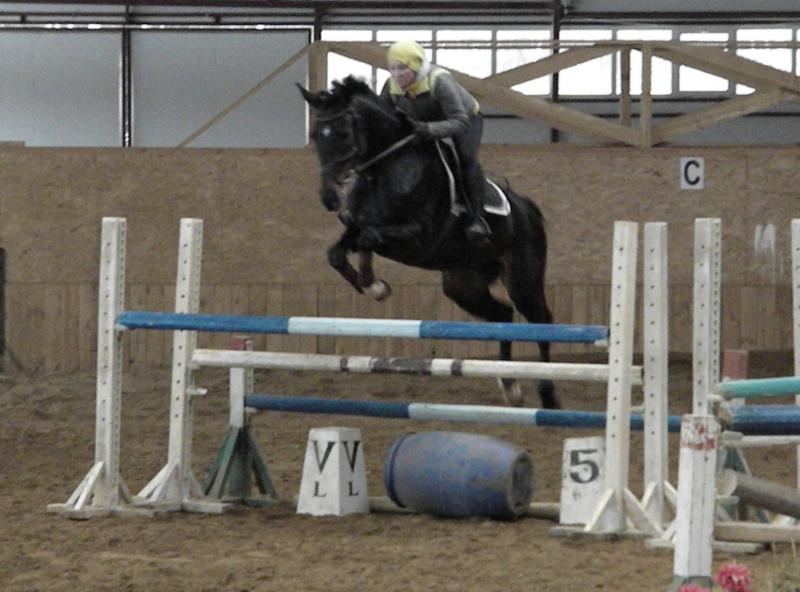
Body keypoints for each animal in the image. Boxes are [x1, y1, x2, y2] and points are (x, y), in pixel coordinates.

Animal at [299, 76, 558, 409]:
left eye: (343, 133)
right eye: (315, 134)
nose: (329, 198)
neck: (386, 167)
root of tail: (527, 208)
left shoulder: (418, 238)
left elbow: (369, 237)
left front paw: (375, 285)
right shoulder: (357, 227)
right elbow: (338, 252)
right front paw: (373, 285)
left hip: (523, 280)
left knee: (541, 321)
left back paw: (548, 395)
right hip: (462, 285)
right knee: (502, 315)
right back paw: (509, 385)